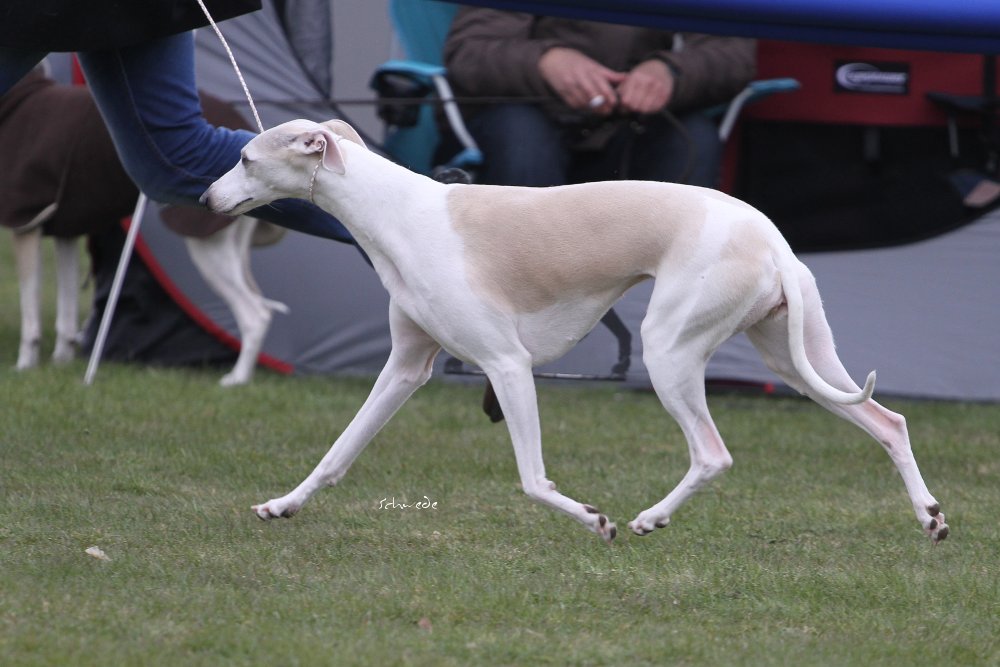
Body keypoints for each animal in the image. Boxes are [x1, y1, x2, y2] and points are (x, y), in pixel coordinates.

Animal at [199, 120, 948, 544]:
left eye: (246, 159)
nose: (204, 199)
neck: (394, 210)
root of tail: (773, 244)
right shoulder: (405, 367)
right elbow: (337, 454)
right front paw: (282, 505)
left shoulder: (506, 364)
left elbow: (532, 479)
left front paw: (596, 519)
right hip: (796, 358)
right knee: (889, 422)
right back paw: (930, 515)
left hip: (670, 349)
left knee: (713, 453)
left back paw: (650, 518)